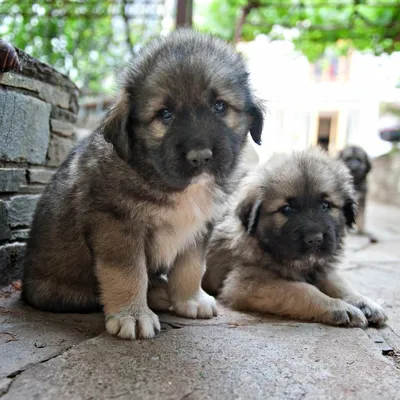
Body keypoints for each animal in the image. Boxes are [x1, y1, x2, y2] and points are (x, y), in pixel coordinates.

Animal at [23, 28, 264, 340]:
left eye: (219, 106)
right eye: (165, 114)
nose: (200, 156)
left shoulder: (200, 227)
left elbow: (192, 265)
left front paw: (190, 299)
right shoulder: (116, 225)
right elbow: (128, 272)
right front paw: (132, 315)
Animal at [203, 148, 388, 328]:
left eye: (326, 205)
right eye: (286, 209)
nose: (314, 239)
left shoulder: (321, 268)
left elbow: (341, 284)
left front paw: (365, 302)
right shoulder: (246, 283)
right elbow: (303, 290)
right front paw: (339, 307)